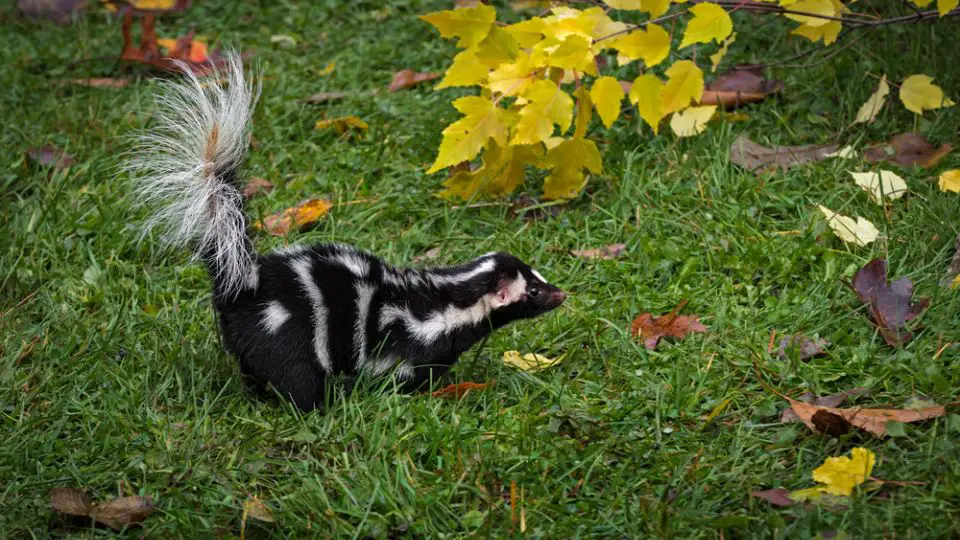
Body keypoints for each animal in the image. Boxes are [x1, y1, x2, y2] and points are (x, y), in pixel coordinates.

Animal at [126, 53, 564, 410]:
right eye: (534, 291)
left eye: (540, 279)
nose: (562, 294)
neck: (449, 301)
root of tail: (245, 279)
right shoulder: (409, 340)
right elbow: (405, 373)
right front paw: (423, 393)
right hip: (289, 332)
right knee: (297, 376)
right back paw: (315, 407)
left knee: (251, 367)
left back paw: (256, 394)